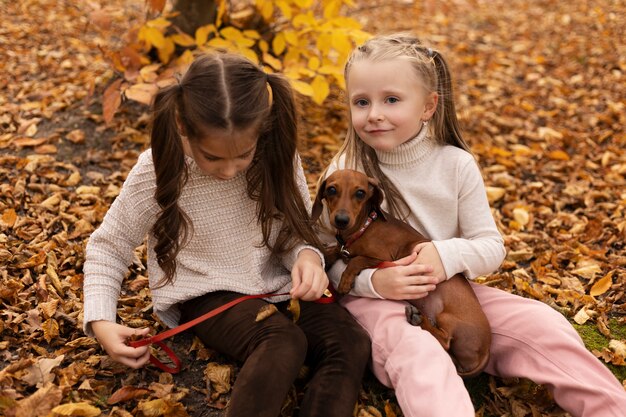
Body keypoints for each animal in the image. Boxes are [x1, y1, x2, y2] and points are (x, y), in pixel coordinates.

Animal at [310, 167, 490, 376]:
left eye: (360, 193)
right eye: (331, 189)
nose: (341, 220)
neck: (364, 227)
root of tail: (486, 350)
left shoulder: (384, 258)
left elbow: (356, 260)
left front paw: (345, 279)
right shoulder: (343, 248)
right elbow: (334, 251)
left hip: (447, 318)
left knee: (445, 342)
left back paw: (418, 319)